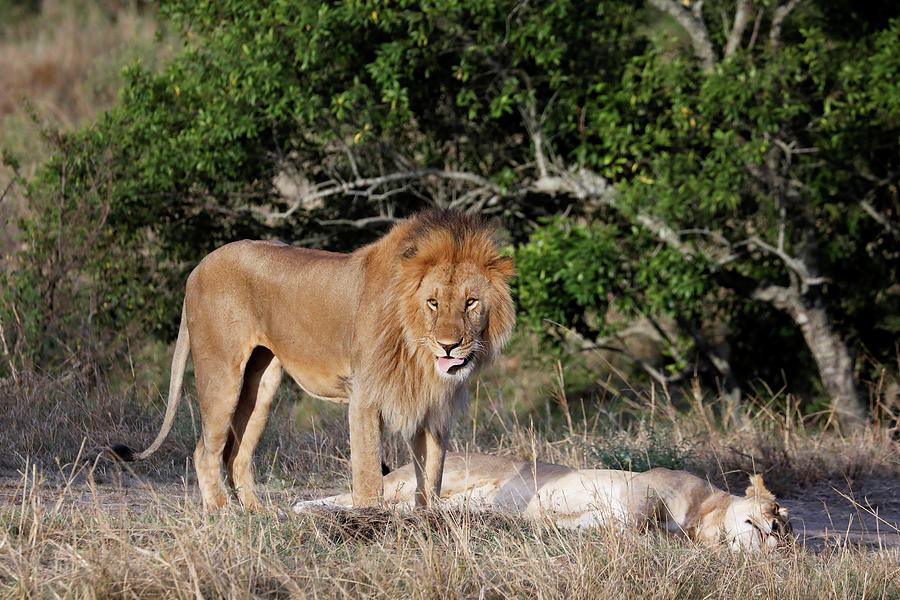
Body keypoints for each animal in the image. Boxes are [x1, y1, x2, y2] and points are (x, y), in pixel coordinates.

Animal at [114, 209, 512, 508]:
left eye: (470, 302)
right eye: (433, 302)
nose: (449, 346)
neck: (419, 353)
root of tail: (197, 267)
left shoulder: (431, 409)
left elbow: (431, 478)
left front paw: (429, 526)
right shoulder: (364, 397)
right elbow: (369, 475)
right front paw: (371, 527)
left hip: (261, 385)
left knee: (237, 455)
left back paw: (259, 517)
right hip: (221, 373)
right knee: (205, 452)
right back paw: (222, 515)